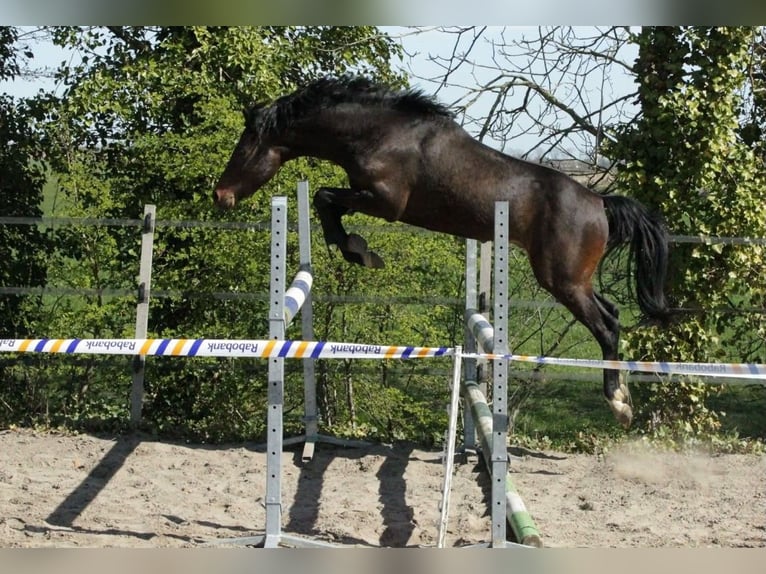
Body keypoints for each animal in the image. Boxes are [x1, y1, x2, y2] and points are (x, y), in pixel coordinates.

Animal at [213, 75, 672, 428]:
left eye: (248, 142)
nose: (221, 196)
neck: (378, 132)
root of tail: (600, 202)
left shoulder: (385, 202)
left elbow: (326, 198)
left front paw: (358, 251)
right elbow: (326, 200)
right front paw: (356, 250)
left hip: (563, 280)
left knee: (606, 326)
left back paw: (619, 404)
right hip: (575, 280)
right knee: (613, 314)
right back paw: (623, 393)